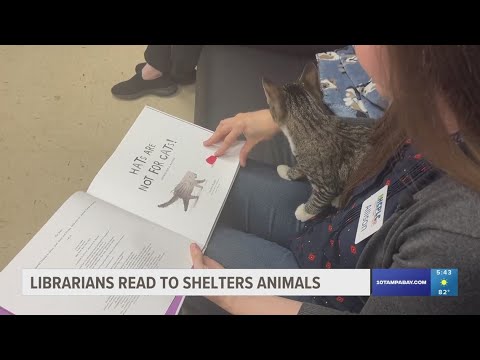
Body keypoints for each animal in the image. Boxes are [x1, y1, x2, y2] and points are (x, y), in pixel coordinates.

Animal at [264, 64, 374, 222]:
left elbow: (319, 200)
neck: (313, 123)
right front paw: (288, 171)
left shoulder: (326, 186)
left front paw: (304, 212)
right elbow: (300, 167)